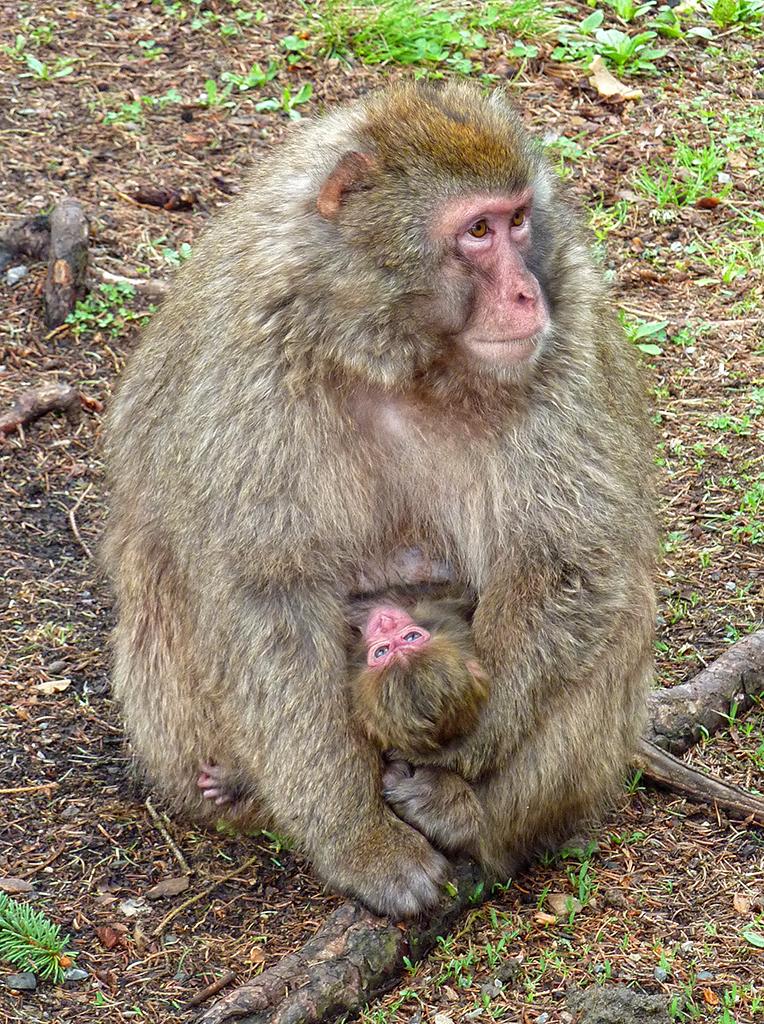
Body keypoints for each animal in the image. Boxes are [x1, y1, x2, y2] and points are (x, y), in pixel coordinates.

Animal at [104, 81, 656, 919]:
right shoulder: (250, 364)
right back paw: (247, 789)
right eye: (477, 231)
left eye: (520, 220)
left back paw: (474, 815)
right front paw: (357, 840)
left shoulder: (567, 332)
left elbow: (565, 561)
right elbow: (267, 597)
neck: (390, 349)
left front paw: (460, 742)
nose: (525, 293)